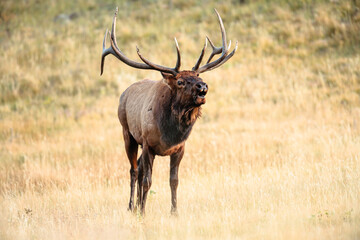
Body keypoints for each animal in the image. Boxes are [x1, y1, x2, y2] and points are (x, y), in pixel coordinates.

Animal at [100, 7, 238, 215]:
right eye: (180, 81)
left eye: (198, 75)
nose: (203, 86)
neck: (170, 133)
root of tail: (124, 93)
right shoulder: (148, 144)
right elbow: (147, 181)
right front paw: (143, 212)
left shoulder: (180, 148)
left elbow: (174, 181)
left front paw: (174, 212)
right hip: (127, 133)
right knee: (134, 170)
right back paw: (132, 207)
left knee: (138, 169)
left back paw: (137, 205)